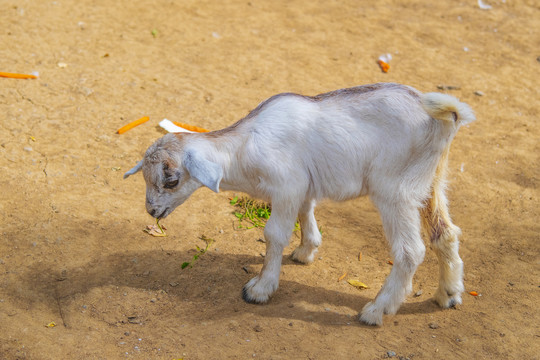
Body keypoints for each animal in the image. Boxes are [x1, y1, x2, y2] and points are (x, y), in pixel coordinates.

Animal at [124, 83, 474, 324]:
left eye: (172, 180)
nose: (152, 211)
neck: (241, 150)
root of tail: (446, 116)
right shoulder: (302, 186)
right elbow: (307, 213)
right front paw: (307, 251)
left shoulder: (286, 186)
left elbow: (274, 234)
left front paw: (261, 288)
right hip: (431, 182)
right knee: (446, 233)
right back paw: (448, 294)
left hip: (394, 190)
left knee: (410, 251)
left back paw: (377, 310)